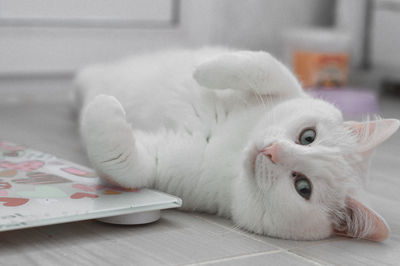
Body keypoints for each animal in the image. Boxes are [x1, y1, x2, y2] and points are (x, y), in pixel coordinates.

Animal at [76, 47, 398, 241]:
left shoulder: (161, 165)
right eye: (308, 136)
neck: (236, 147)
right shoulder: (290, 88)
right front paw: (203, 70)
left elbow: (123, 165)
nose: (271, 151)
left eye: (303, 187)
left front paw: (105, 108)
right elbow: (265, 66)